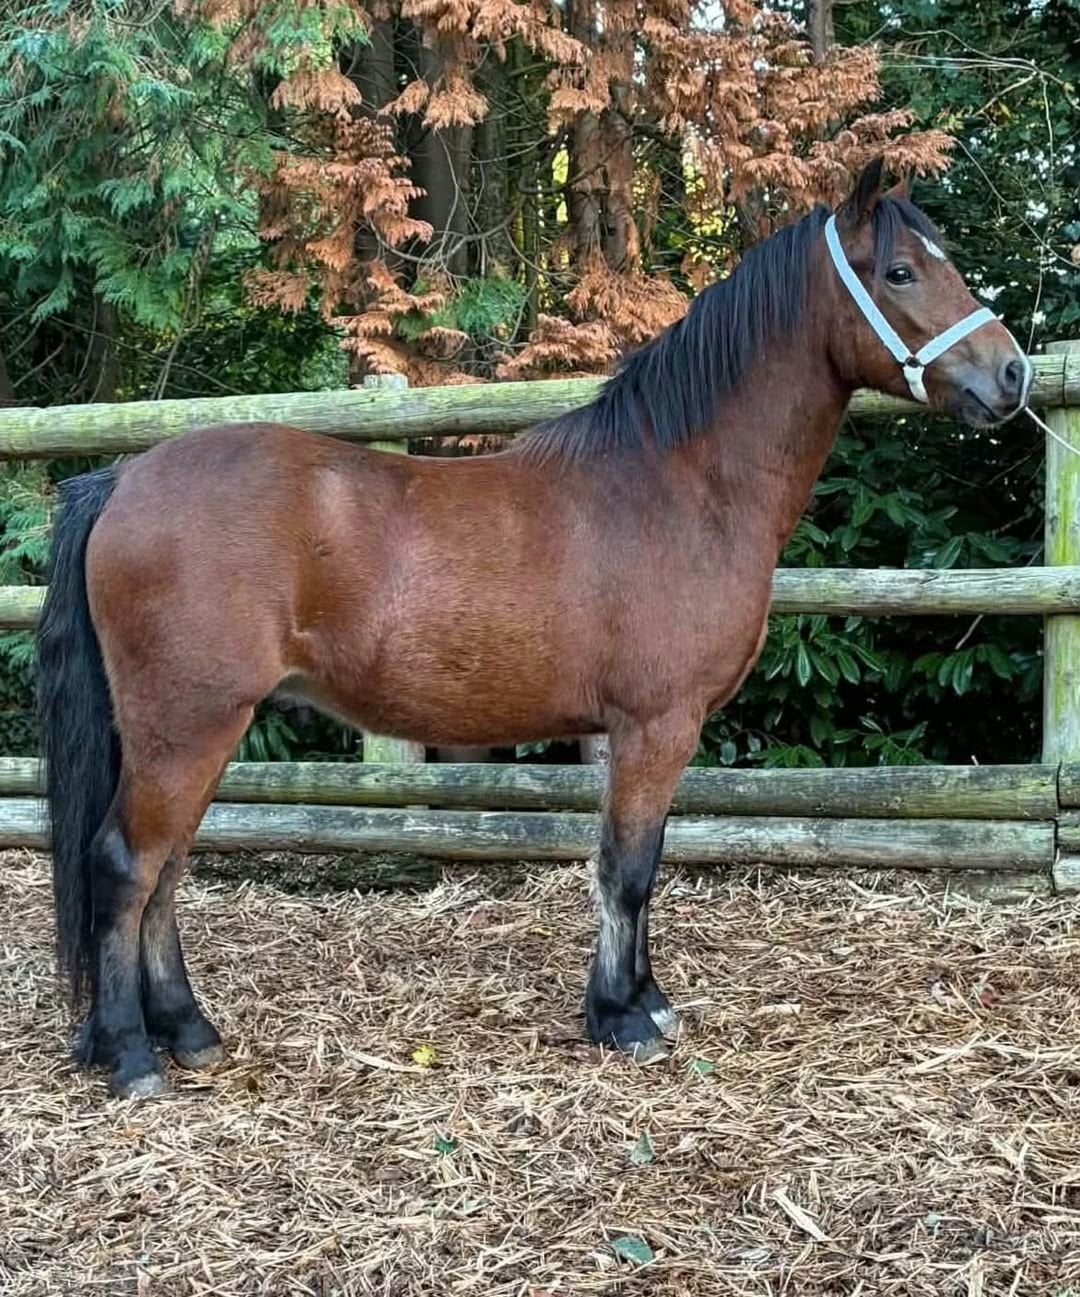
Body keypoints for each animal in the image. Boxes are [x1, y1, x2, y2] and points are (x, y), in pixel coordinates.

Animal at [37, 159, 1030, 1098]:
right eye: (900, 270)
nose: (1012, 372)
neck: (678, 482)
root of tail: (123, 479)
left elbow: (634, 860)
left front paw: (645, 1001)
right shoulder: (656, 724)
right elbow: (627, 867)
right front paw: (621, 1018)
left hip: (198, 731)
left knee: (167, 870)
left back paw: (189, 1029)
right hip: (187, 725)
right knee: (128, 865)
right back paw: (133, 1055)